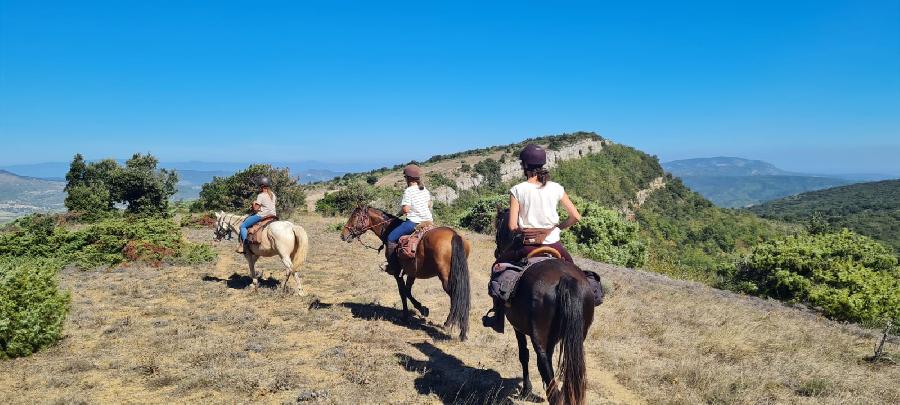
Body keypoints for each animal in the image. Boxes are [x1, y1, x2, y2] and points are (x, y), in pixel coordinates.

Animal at [342, 204, 474, 340]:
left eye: (355, 216)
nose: (343, 234)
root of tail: (454, 235)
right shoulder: (412, 272)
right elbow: (408, 290)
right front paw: (422, 309)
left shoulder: (397, 272)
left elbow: (403, 291)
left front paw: (409, 314)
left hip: (445, 278)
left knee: (455, 295)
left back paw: (449, 324)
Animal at [496, 208, 596, 404]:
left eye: (498, 228)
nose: (497, 251)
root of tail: (566, 278)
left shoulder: (518, 327)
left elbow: (523, 354)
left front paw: (526, 390)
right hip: (577, 337)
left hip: (540, 337)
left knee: (544, 368)